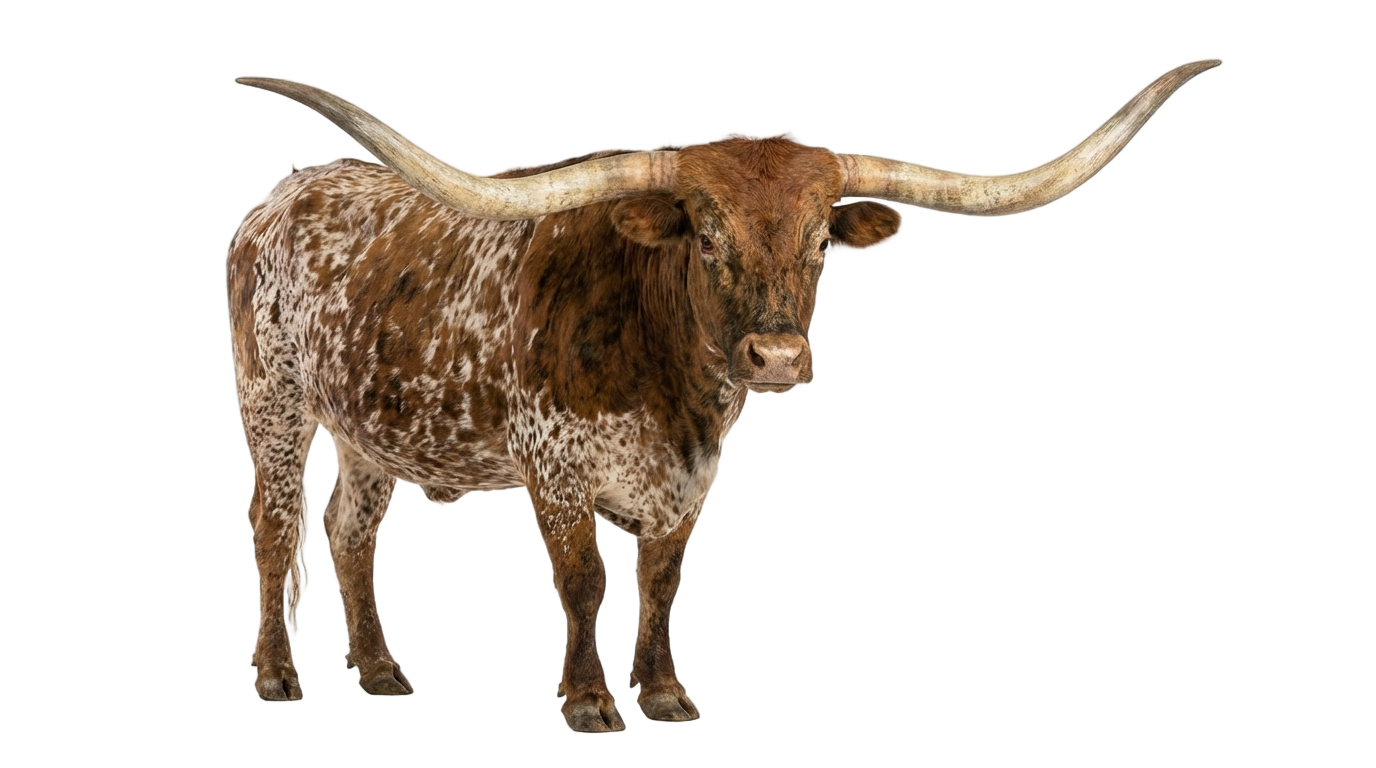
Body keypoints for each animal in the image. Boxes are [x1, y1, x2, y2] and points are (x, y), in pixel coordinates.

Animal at [229, 60, 1218, 730]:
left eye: (820, 240)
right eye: (704, 235)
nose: (777, 355)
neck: (668, 388)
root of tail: (285, 196)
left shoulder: (687, 484)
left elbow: (663, 582)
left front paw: (665, 695)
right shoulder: (554, 473)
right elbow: (585, 583)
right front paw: (587, 703)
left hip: (367, 429)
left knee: (348, 532)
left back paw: (379, 673)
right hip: (272, 396)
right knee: (276, 527)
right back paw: (274, 675)